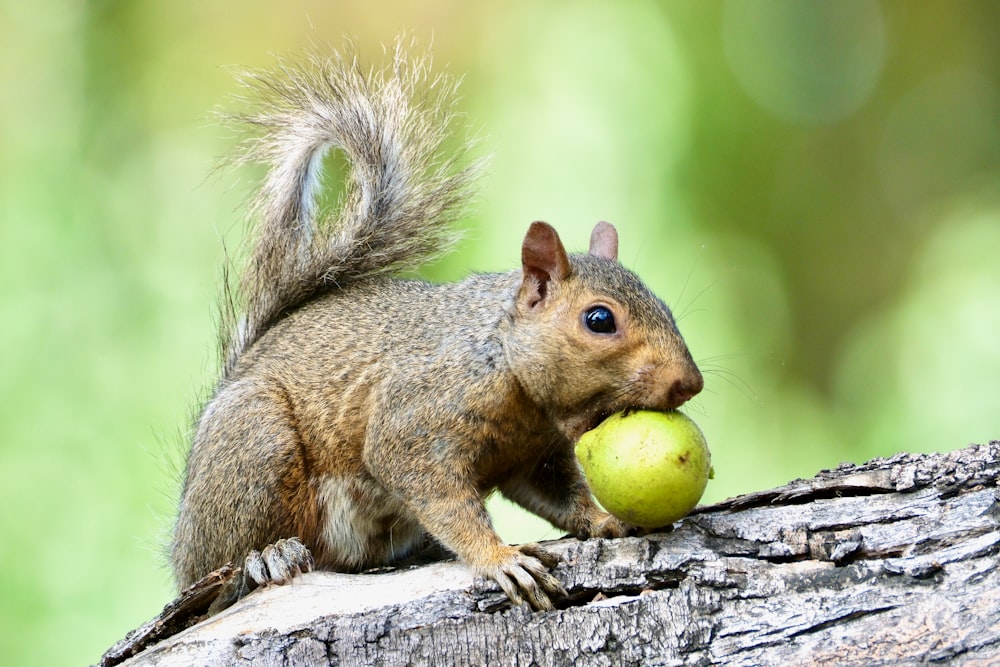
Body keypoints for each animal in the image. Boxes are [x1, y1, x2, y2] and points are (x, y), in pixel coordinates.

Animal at [170, 41, 704, 612]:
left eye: (665, 306)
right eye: (599, 319)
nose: (689, 383)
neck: (505, 366)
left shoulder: (533, 456)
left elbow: (559, 495)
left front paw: (604, 521)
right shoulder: (416, 418)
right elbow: (438, 495)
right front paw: (501, 558)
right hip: (254, 448)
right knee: (225, 567)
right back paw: (265, 558)